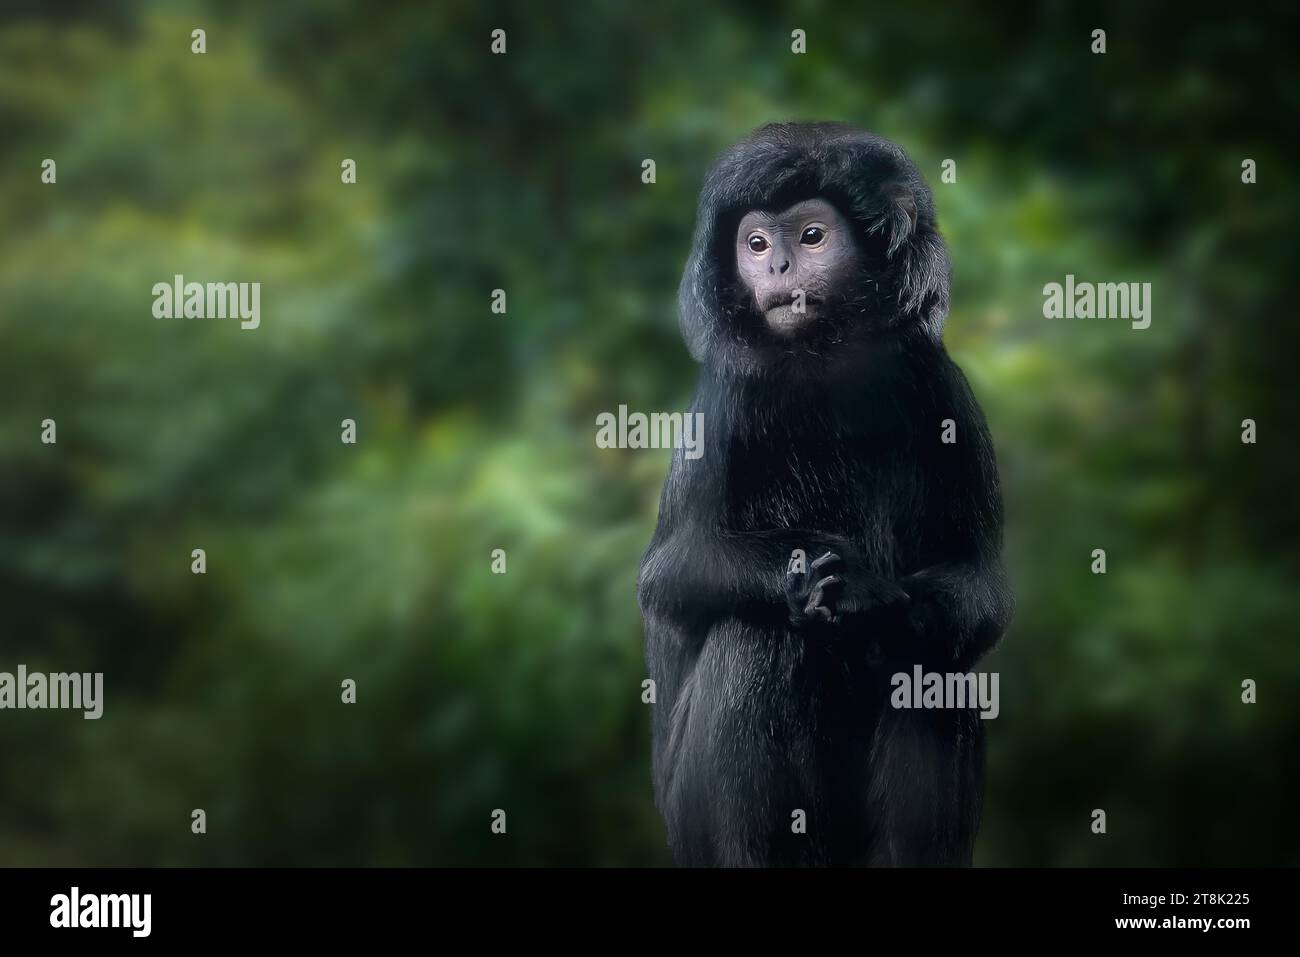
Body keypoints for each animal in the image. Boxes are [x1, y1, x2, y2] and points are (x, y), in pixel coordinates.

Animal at [639, 121, 1013, 868]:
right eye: (756, 245)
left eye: (812, 236)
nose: (779, 270)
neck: (823, 359)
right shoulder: (728, 394)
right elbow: (670, 575)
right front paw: (817, 572)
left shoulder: (940, 381)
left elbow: (979, 593)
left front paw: (874, 595)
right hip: (688, 822)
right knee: (758, 633)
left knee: (931, 660)